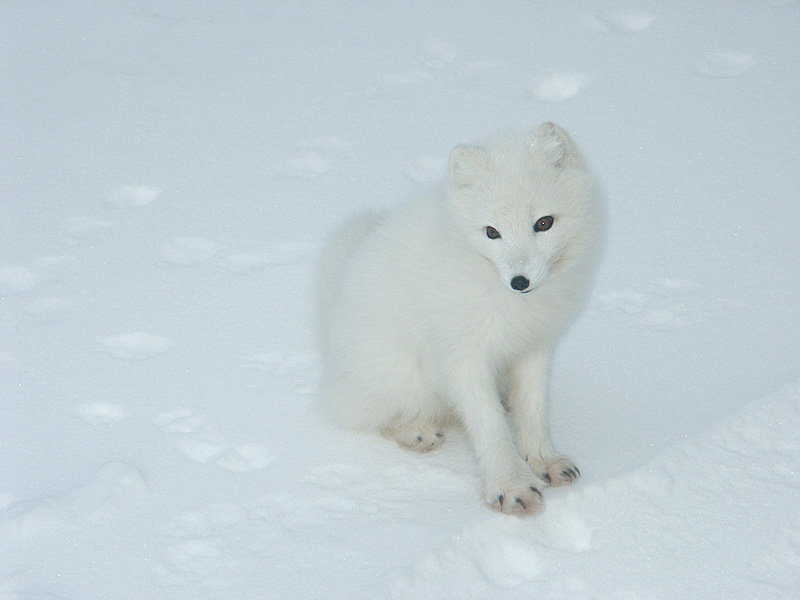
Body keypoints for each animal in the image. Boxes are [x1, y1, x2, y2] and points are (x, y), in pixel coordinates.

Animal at [316, 123, 604, 516]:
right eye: (492, 232)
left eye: (544, 223)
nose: (519, 282)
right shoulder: (461, 355)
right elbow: (488, 425)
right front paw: (510, 486)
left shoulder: (535, 346)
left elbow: (534, 408)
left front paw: (543, 459)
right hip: (400, 376)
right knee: (374, 416)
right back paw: (415, 430)